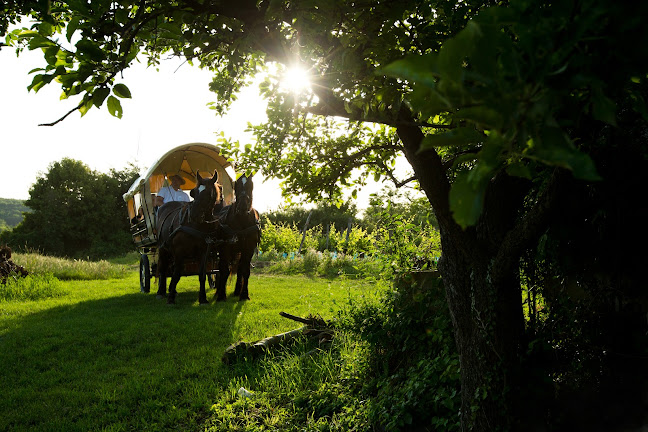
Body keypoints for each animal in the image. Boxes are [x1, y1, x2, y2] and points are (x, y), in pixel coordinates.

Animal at [156, 170, 221, 306]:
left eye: (209, 193)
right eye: (194, 192)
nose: (194, 215)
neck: (195, 224)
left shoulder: (204, 252)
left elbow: (202, 274)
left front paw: (203, 298)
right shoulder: (179, 251)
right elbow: (176, 274)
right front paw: (170, 299)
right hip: (162, 249)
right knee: (163, 269)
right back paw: (161, 292)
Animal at [215, 174, 260, 302]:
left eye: (251, 185)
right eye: (236, 185)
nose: (243, 206)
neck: (242, 219)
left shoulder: (248, 249)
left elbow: (245, 271)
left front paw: (244, 294)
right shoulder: (225, 248)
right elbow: (224, 270)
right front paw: (221, 295)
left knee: (240, 268)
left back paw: (237, 290)